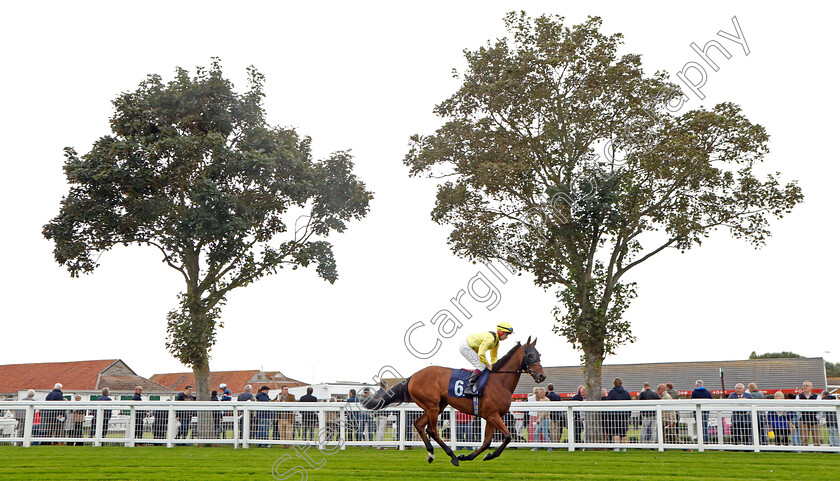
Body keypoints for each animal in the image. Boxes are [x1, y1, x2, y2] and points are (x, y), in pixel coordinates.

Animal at [360, 336, 544, 464]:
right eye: (530, 355)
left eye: (539, 354)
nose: (542, 376)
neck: (500, 381)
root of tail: (413, 377)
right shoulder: (493, 415)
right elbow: (506, 437)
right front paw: (484, 455)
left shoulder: (491, 416)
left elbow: (486, 441)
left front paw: (471, 456)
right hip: (432, 406)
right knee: (432, 430)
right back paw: (452, 456)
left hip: (438, 405)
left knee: (419, 425)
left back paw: (432, 453)